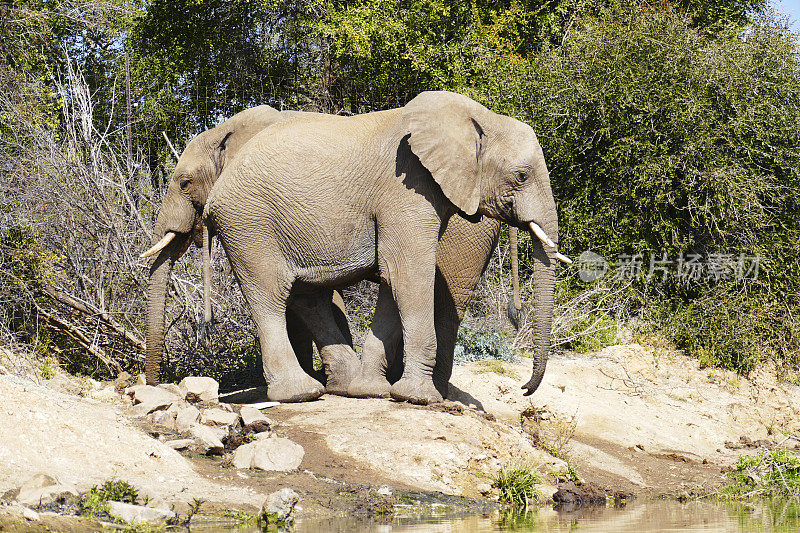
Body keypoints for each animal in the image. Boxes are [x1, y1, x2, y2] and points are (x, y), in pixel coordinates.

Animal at [206, 90, 568, 404]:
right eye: (521, 176)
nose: (524, 389)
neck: (480, 118)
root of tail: (215, 195)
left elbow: (393, 280)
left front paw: (371, 392)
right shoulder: (406, 188)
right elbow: (409, 275)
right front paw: (418, 398)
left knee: (305, 295)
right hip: (248, 225)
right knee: (270, 296)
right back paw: (300, 394)